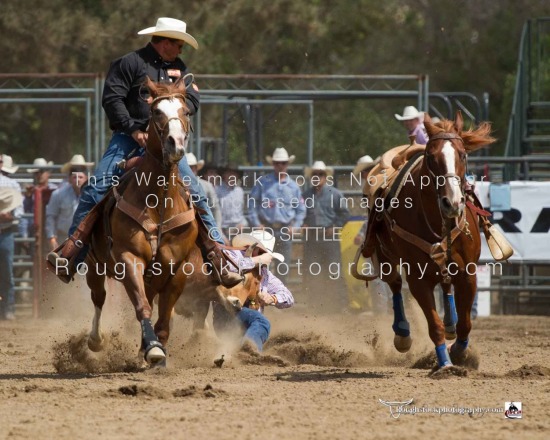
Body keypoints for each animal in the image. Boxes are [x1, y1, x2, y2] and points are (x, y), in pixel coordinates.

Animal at [84, 77, 198, 366]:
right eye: (156, 111)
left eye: (186, 111)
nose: (175, 143)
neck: (159, 202)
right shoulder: (129, 258)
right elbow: (142, 306)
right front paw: (153, 348)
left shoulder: (177, 267)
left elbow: (165, 317)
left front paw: (156, 347)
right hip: (94, 264)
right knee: (98, 297)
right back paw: (96, 339)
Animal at [366, 112, 496, 368]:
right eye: (430, 156)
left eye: (463, 154)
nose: (452, 203)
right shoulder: (418, 279)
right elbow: (434, 325)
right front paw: (445, 363)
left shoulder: (468, 273)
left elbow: (466, 324)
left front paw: (459, 352)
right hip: (385, 258)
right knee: (395, 285)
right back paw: (403, 334)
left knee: (445, 286)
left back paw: (450, 323)